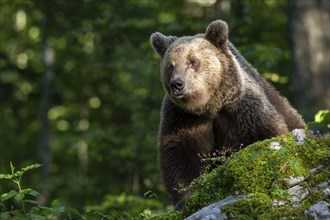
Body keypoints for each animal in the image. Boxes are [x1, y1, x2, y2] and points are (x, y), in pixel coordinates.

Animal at [150, 19, 304, 209]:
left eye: (193, 61)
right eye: (170, 66)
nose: (177, 84)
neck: (209, 106)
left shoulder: (240, 108)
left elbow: (265, 133)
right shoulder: (183, 117)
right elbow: (180, 151)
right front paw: (185, 198)